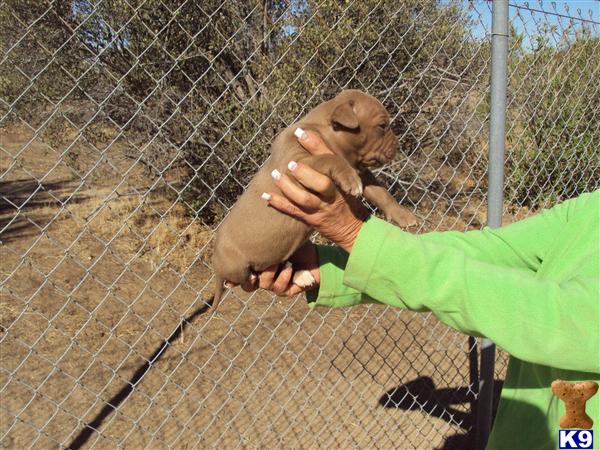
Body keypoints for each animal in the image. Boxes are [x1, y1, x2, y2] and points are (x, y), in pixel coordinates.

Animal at [212, 89, 418, 308]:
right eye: (382, 126)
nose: (398, 145)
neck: (325, 134)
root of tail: (216, 268)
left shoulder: (362, 172)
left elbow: (380, 192)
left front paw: (403, 215)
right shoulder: (298, 164)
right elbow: (329, 159)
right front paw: (349, 180)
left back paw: (301, 275)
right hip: (237, 266)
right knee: (247, 277)